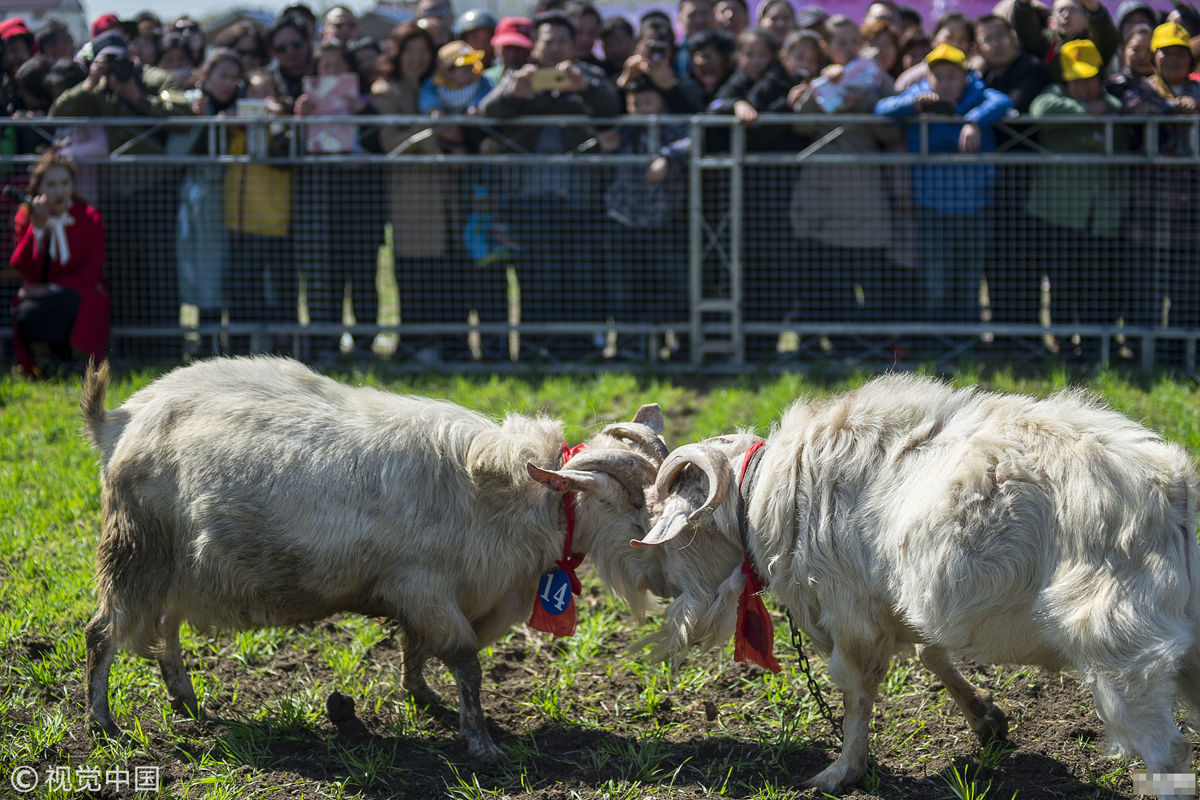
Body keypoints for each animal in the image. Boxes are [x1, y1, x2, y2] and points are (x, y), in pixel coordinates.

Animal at [79, 357, 672, 767]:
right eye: (633, 504)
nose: (668, 577)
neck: (505, 491)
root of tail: (120, 419)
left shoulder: (427, 594)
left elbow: (417, 650)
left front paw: (424, 698)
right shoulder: (427, 588)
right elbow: (467, 665)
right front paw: (481, 743)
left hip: (176, 567)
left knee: (164, 628)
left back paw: (186, 700)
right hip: (134, 551)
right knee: (101, 633)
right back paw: (104, 724)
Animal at [633, 376, 1195, 796]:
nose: (658, 584)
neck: (763, 494)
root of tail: (1173, 489)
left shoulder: (852, 612)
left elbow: (858, 694)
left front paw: (843, 772)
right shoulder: (899, 598)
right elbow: (931, 654)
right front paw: (986, 719)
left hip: (1119, 646)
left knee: (1169, 753)